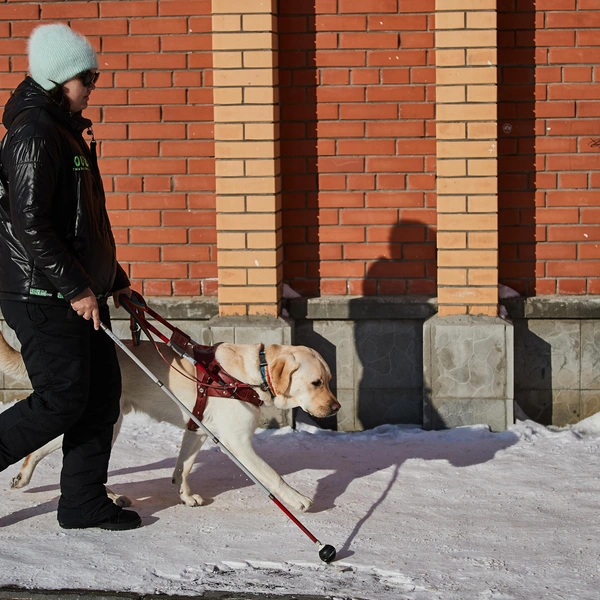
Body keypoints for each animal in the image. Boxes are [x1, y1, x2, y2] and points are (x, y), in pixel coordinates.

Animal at [0, 330, 340, 512]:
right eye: (316, 383)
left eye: (329, 380)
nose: (336, 408)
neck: (252, 374)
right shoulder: (237, 443)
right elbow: (272, 475)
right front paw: (297, 499)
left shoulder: (198, 431)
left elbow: (183, 467)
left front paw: (185, 495)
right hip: (105, 424)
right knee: (41, 449)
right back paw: (27, 476)